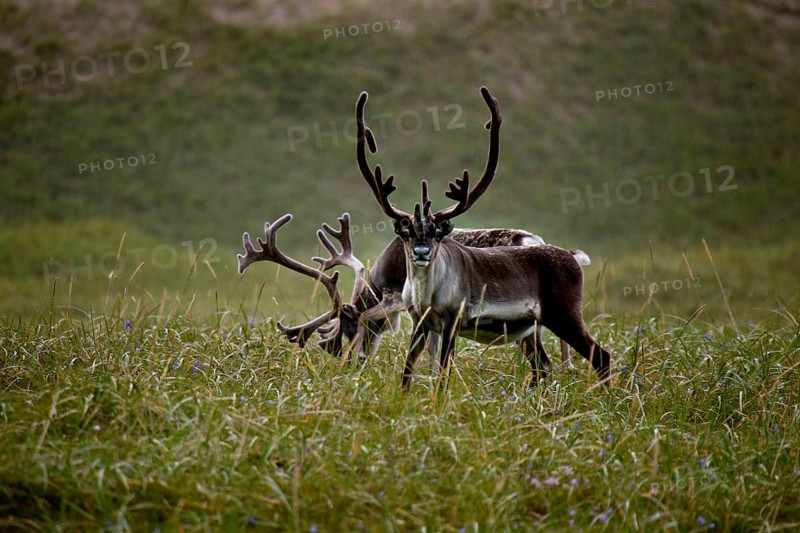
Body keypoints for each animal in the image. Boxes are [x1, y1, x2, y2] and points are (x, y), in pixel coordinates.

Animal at [353, 85, 611, 390]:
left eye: (437, 233)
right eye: (407, 232)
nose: (421, 252)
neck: (428, 293)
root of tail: (572, 257)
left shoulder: (453, 320)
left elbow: (444, 370)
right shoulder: (420, 322)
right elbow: (407, 370)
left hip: (563, 314)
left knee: (600, 356)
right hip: (531, 328)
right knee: (543, 365)